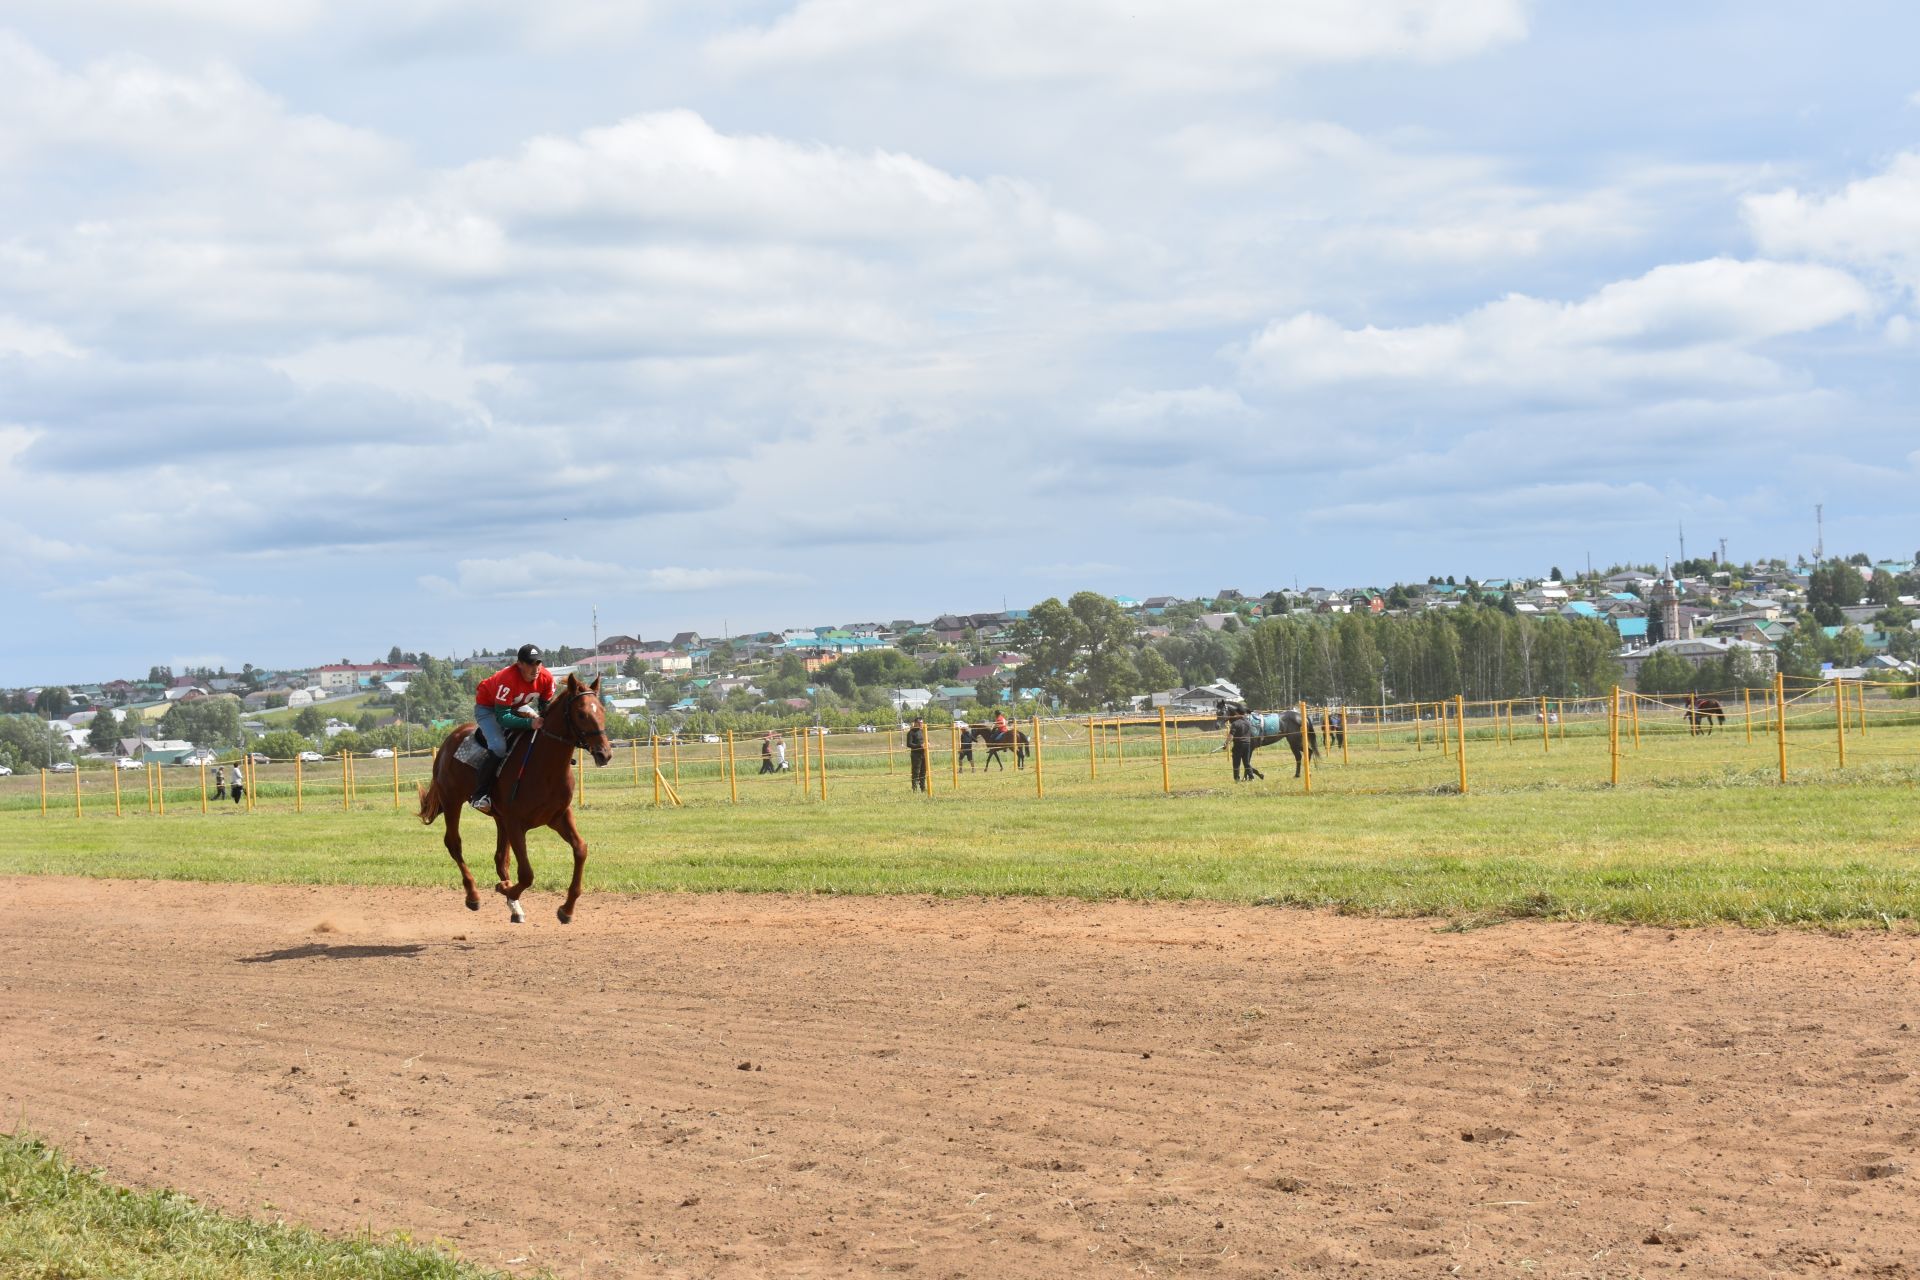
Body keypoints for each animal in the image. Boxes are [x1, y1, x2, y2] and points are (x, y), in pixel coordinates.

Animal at [418, 675, 614, 924]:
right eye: (581, 713)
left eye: (602, 710)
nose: (604, 754)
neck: (545, 767)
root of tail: (449, 740)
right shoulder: (515, 823)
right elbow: (527, 874)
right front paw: (505, 889)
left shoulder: (558, 816)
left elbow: (580, 849)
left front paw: (566, 909)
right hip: (452, 801)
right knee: (454, 844)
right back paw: (473, 895)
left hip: (498, 819)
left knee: (500, 858)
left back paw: (514, 907)